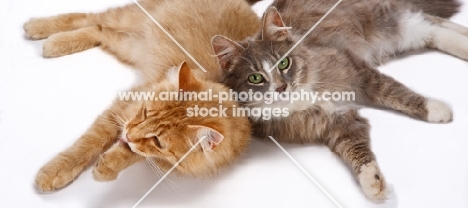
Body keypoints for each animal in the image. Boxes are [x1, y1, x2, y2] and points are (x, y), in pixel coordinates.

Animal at [22, 0, 260, 192]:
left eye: (157, 141)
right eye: (145, 112)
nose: (128, 133)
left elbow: (136, 152)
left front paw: (110, 165)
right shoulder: (123, 106)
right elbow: (89, 142)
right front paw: (56, 171)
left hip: (130, 44)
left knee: (99, 30)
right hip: (131, 18)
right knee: (89, 18)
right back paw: (42, 30)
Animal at [213, 0, 468, 202]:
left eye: (284, 63)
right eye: (255, 78)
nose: (282, 87)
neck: (301, 98)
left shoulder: (357, 72)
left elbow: (395, 92)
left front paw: (435, 108)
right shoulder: (338, 123)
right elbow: (356, 150)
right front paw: (373, 182)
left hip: (387, 23)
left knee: (431, 23)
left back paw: (464, 45)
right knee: (433, 26)